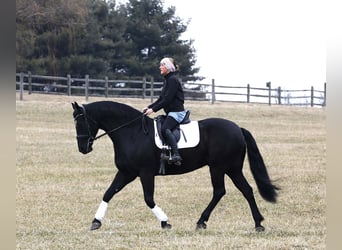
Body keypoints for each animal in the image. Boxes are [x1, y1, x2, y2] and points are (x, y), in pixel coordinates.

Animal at [72, 100, 278, 231]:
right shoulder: (126, 172)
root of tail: (238, 129)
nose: (83, 148)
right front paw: (96, 222)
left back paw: (202, 221)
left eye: (80, 122)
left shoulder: (145, 173)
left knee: (220, 191)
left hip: (219, 168)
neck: (132, 132)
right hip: (232, 169)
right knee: (246, 190)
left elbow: (148, 199)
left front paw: (165, 222)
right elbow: (108, 193)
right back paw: (258, 223)